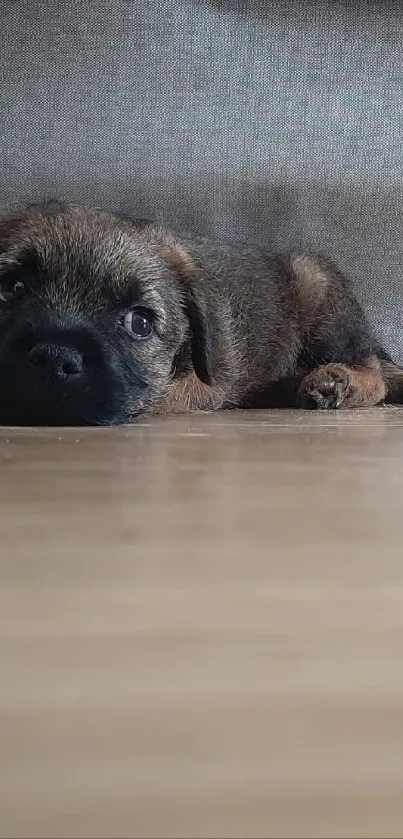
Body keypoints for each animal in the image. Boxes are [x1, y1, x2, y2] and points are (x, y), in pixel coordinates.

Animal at [0, 201, 400, 426]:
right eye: (11, 288)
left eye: (140, 323)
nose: (56, 358)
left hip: (316, 285)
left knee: (374, 371)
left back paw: (337, 382)